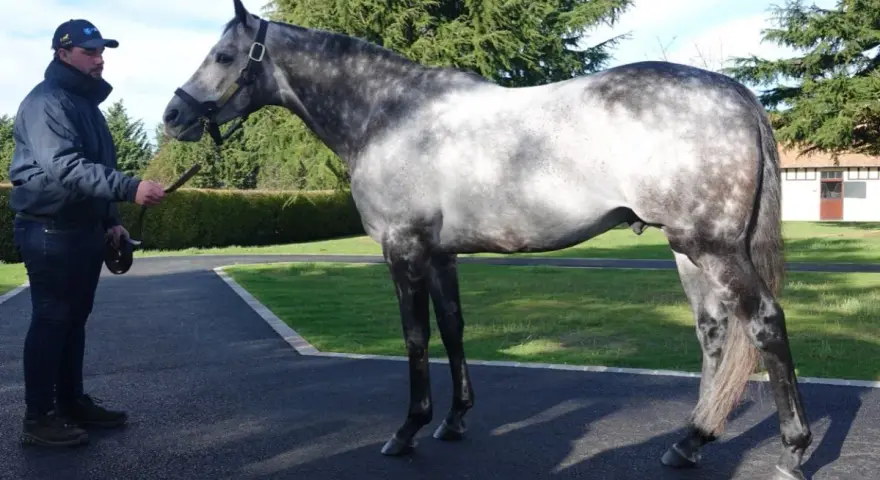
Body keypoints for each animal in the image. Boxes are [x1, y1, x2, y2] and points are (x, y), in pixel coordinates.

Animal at [161, 1, 812, 478]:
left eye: (223, 55)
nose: (173, 115)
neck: (387, 115)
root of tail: (736, 93)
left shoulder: (403, 251)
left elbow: (416, 337)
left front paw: (408, 430)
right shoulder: (440, 255)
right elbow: (452, 328)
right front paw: (454, 421)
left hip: (713, 248)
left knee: (765, 323)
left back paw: (792, 449)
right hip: (686, 250)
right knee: (714, 335)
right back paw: (690, 440)